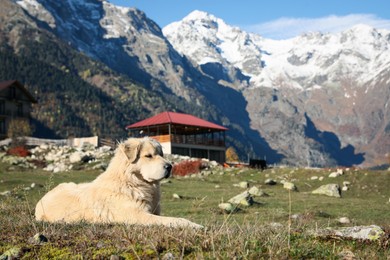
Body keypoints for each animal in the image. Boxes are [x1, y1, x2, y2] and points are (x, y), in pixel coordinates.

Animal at [35, 137, 203, 229]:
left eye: (161, 154)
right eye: (148, 156)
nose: (170, 166)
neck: (132, 182)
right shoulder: (138, 216)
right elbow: (174, 220)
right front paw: (196, 226)